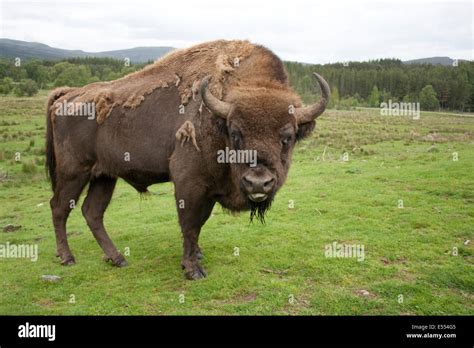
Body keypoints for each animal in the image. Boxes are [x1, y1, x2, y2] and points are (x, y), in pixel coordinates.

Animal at [47, 39, 330, 278]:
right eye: (235, 133)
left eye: (288, 137)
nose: (258, 183)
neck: (218, 120)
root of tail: (67, 95)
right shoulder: (190, 184)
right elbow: (191, 225)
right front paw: (193, 269)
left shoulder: (209, 190)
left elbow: (200, 223)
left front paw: (196, 256)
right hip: (74, 172)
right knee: (59, 207)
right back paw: (67, 258)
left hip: (105, 175)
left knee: (92, 212)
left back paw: (117, 258)